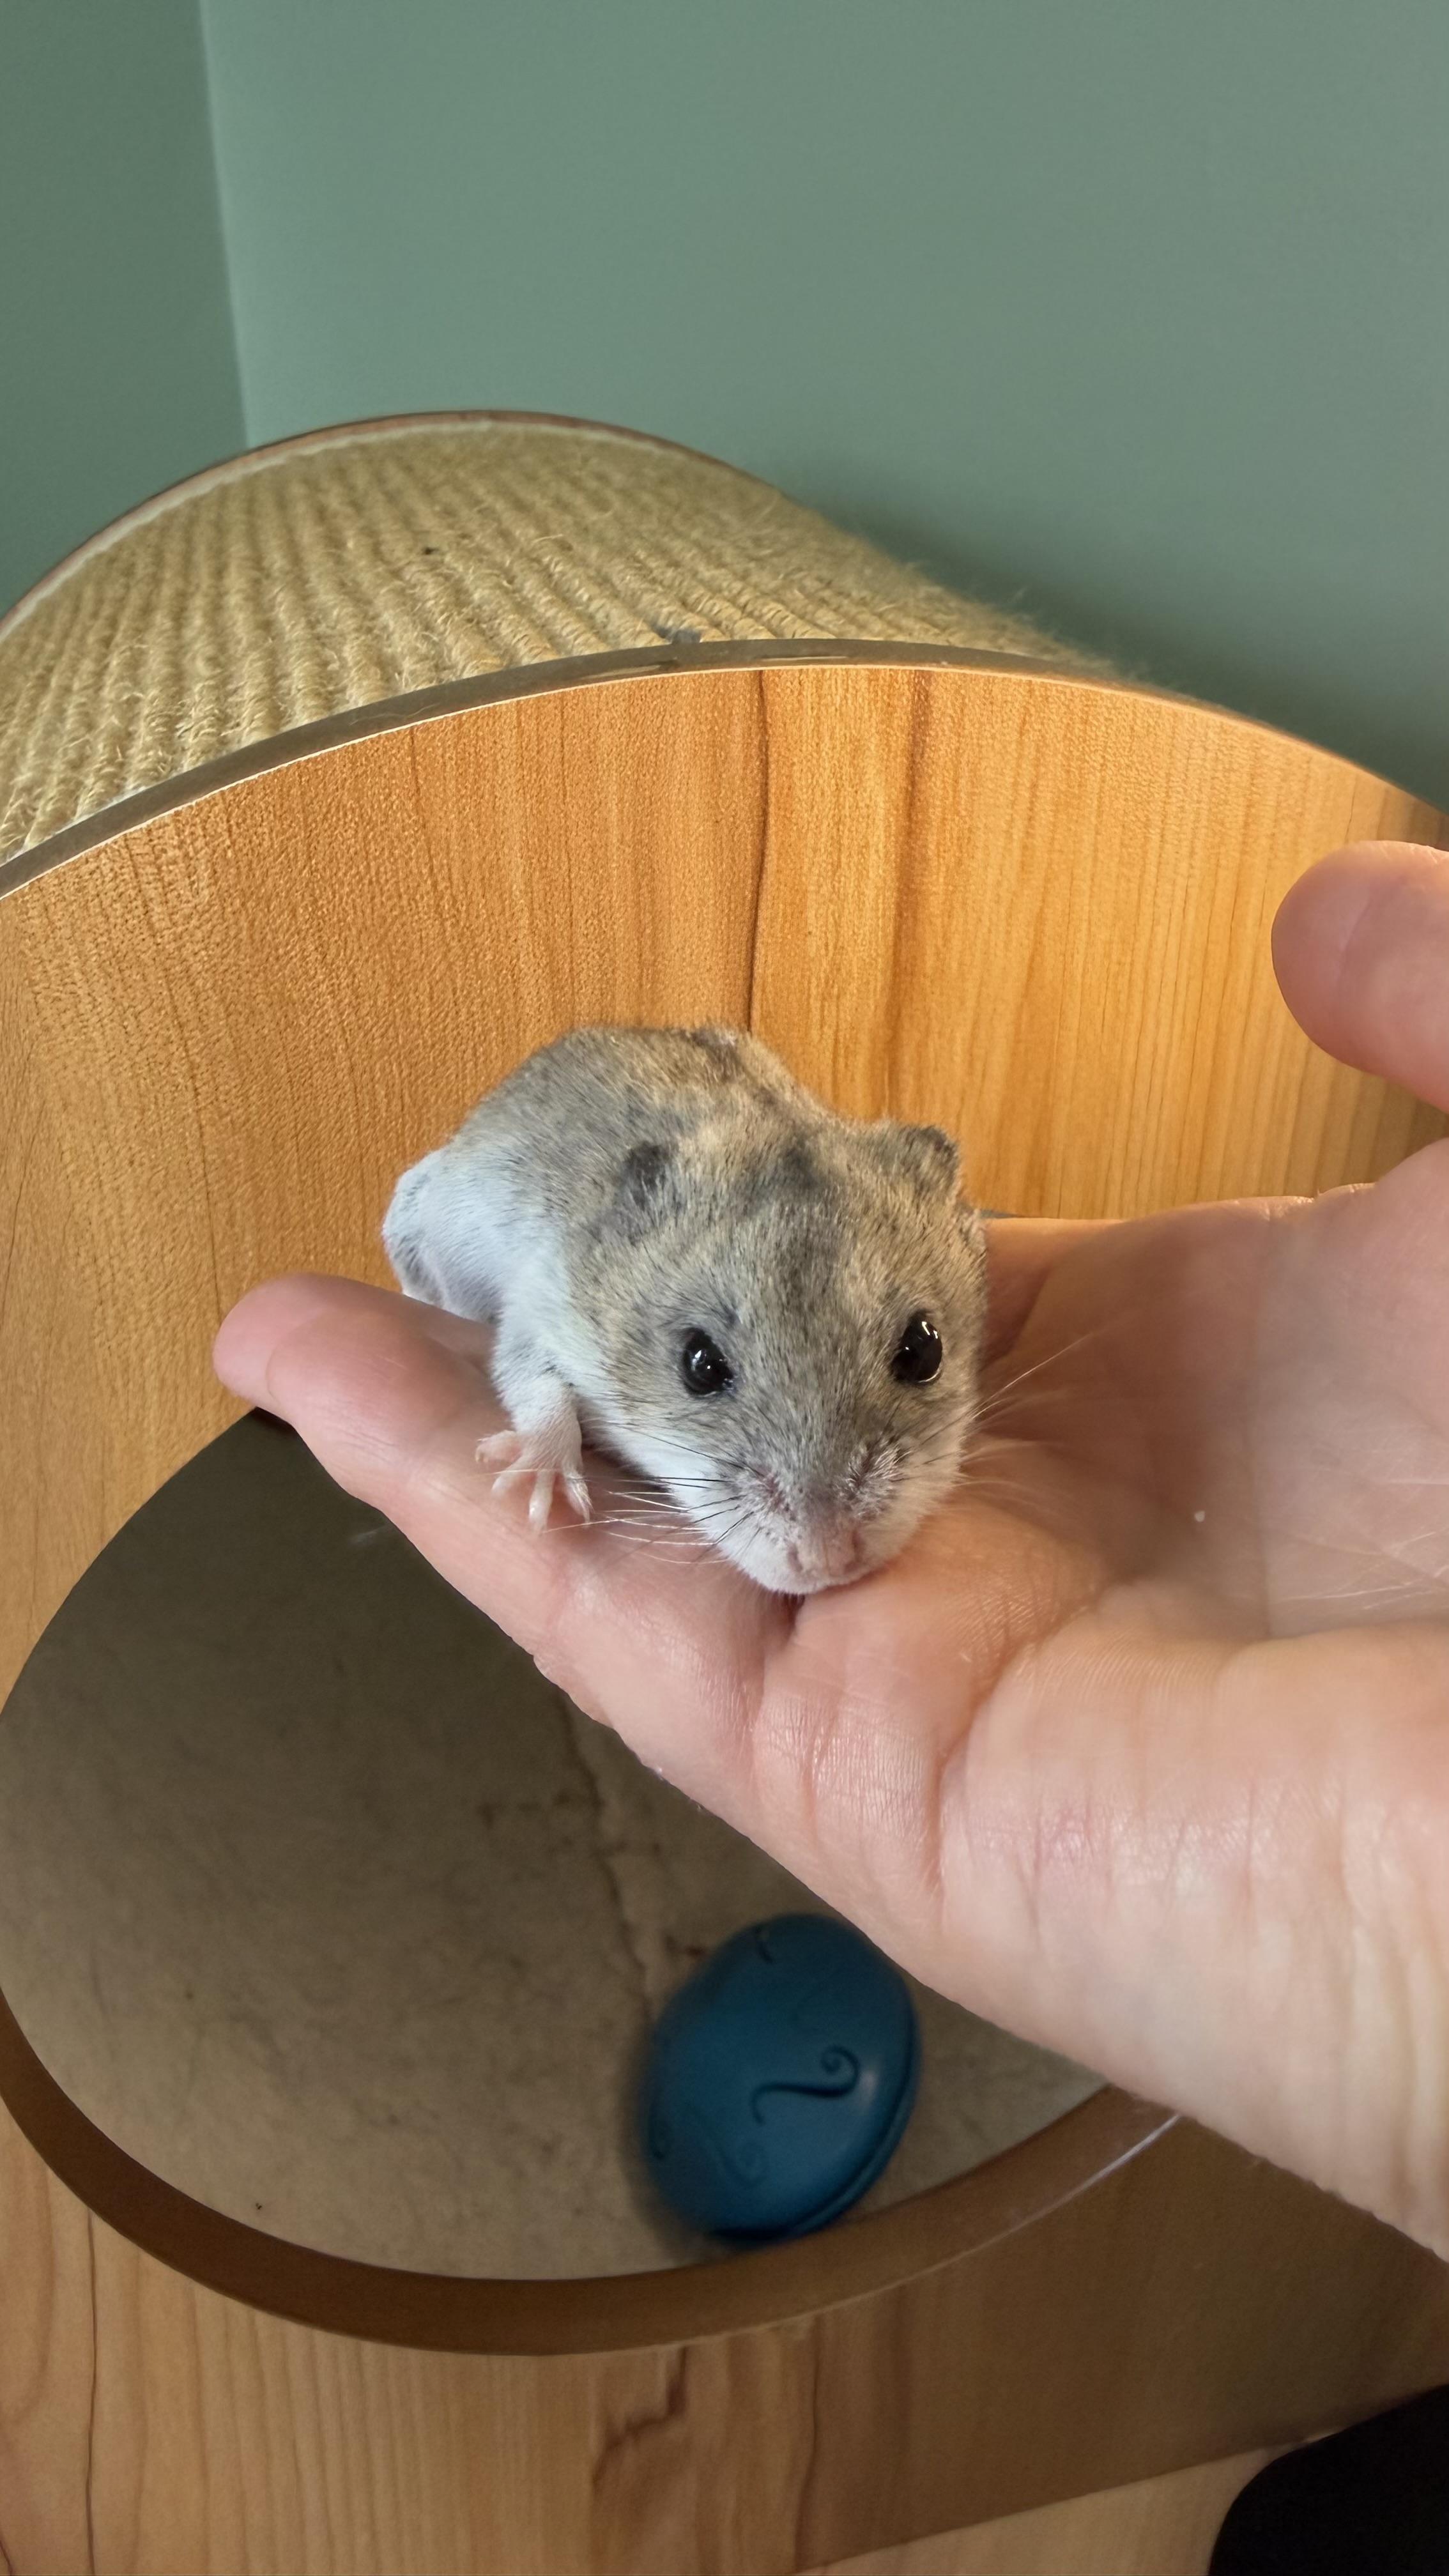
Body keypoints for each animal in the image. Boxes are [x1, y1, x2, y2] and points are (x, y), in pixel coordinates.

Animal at [382, 1025, 987, 1594]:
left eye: (924, 1350)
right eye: (699, 1366)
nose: (828, 1560)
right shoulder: (540, 1317)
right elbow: (538, 1388)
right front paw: (534, 1482)